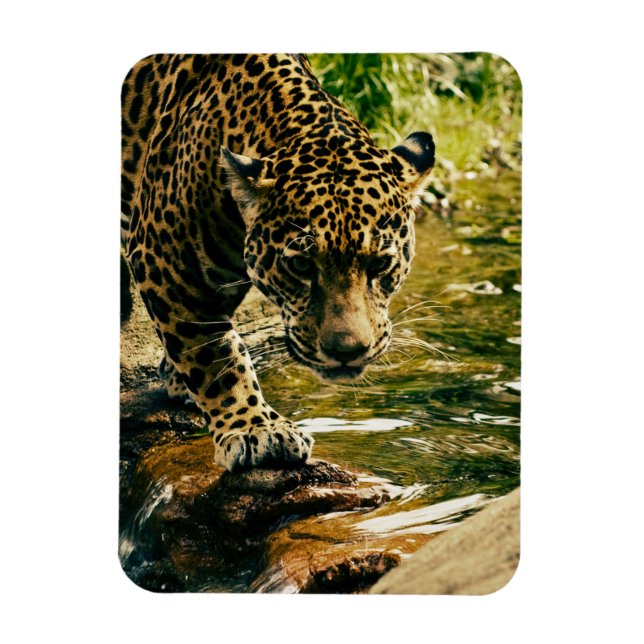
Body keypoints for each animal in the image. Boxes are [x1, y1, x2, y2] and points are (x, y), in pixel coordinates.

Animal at [121, 54, 434, 472]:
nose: (347, 352)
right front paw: (255, 428)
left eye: (380, 266)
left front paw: (177, 378)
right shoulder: (163, 257)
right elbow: (215, 353)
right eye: (301, 267)